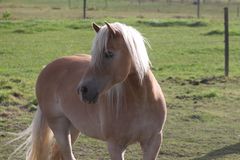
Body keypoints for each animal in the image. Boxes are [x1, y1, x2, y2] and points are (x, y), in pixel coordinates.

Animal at [11, 21, 167, 160]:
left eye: (108, 53)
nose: (83, 90)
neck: (141, 100)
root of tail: (47, 67)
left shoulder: (153, 142)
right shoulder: (115, 146)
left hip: (74, 127)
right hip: (59, 126)